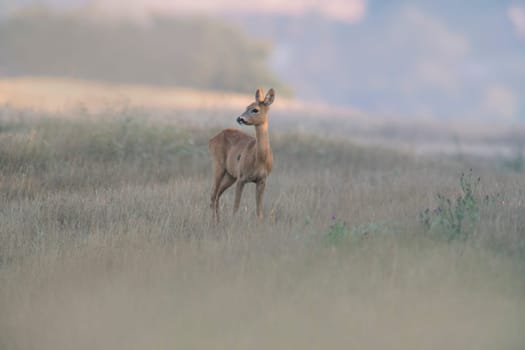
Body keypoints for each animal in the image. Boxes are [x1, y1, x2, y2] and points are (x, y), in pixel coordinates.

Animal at [208, 87, 276, 221]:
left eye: (255, 109)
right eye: (246, 106)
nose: (239, 118)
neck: (259, 159)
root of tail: (212, 140)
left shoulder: (262, 180)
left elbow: (259, 210)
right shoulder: (242, 178)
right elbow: (236, 207)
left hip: (230, 175)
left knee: (218, 194)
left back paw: (218, 220)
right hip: (218, 165)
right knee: (213, 195)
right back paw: (213, 221)